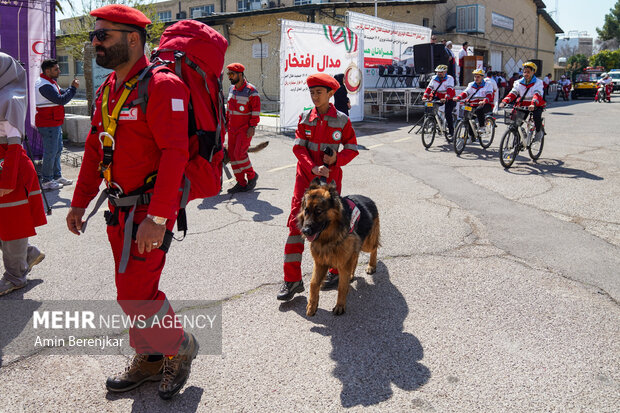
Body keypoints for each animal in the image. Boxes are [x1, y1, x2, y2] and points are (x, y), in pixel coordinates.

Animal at [298, 177, 380, 316]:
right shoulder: (320, 263)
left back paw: (371, 266)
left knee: (374, 248)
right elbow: (313, 283)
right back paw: (352, 275)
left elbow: (342, 286)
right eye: (306, 210)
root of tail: (368, 198)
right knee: (355, 258)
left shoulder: (343, 263)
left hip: (367, 244)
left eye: (319, 211)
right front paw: (312, 305)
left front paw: (340, 306)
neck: (329, 238)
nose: (305, 231)